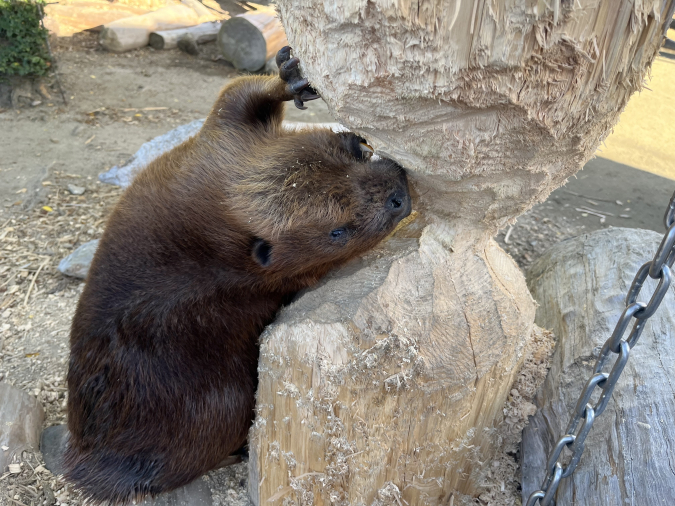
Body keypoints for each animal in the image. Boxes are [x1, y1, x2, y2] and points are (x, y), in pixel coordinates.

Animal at [63, 46, 412, 502]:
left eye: (357, 154)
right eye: (338, 232)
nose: (400, 195)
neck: (220, 220)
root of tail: (81, 466)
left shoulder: (209, 156)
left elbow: (236, 98)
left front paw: (295, 76)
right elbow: (234, 95)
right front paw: (292, 74)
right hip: (221, 402)